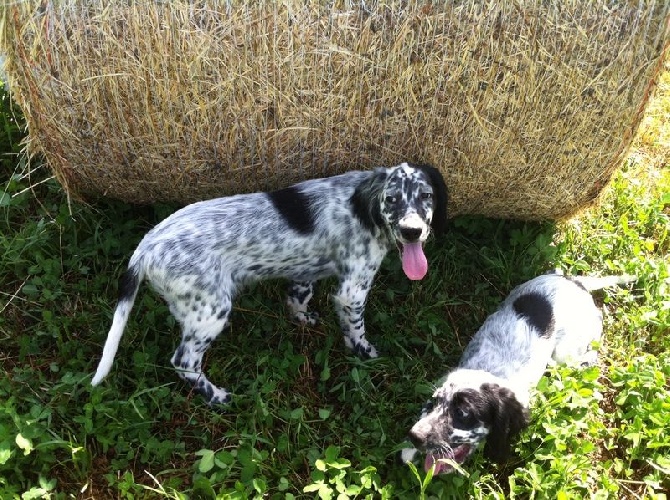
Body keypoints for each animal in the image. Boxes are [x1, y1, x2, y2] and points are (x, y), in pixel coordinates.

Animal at [92, 164, 448, 406]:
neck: (363, 206)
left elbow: (298, 297)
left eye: (426, 196)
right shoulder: (353, 290)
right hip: (211, 311)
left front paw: (302, 319)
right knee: (184, 362)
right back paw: (216, 396)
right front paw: (365, 352)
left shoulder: (304, 270)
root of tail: (147, 245)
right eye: (392, 199)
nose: (413, 231)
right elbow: (356, 330)